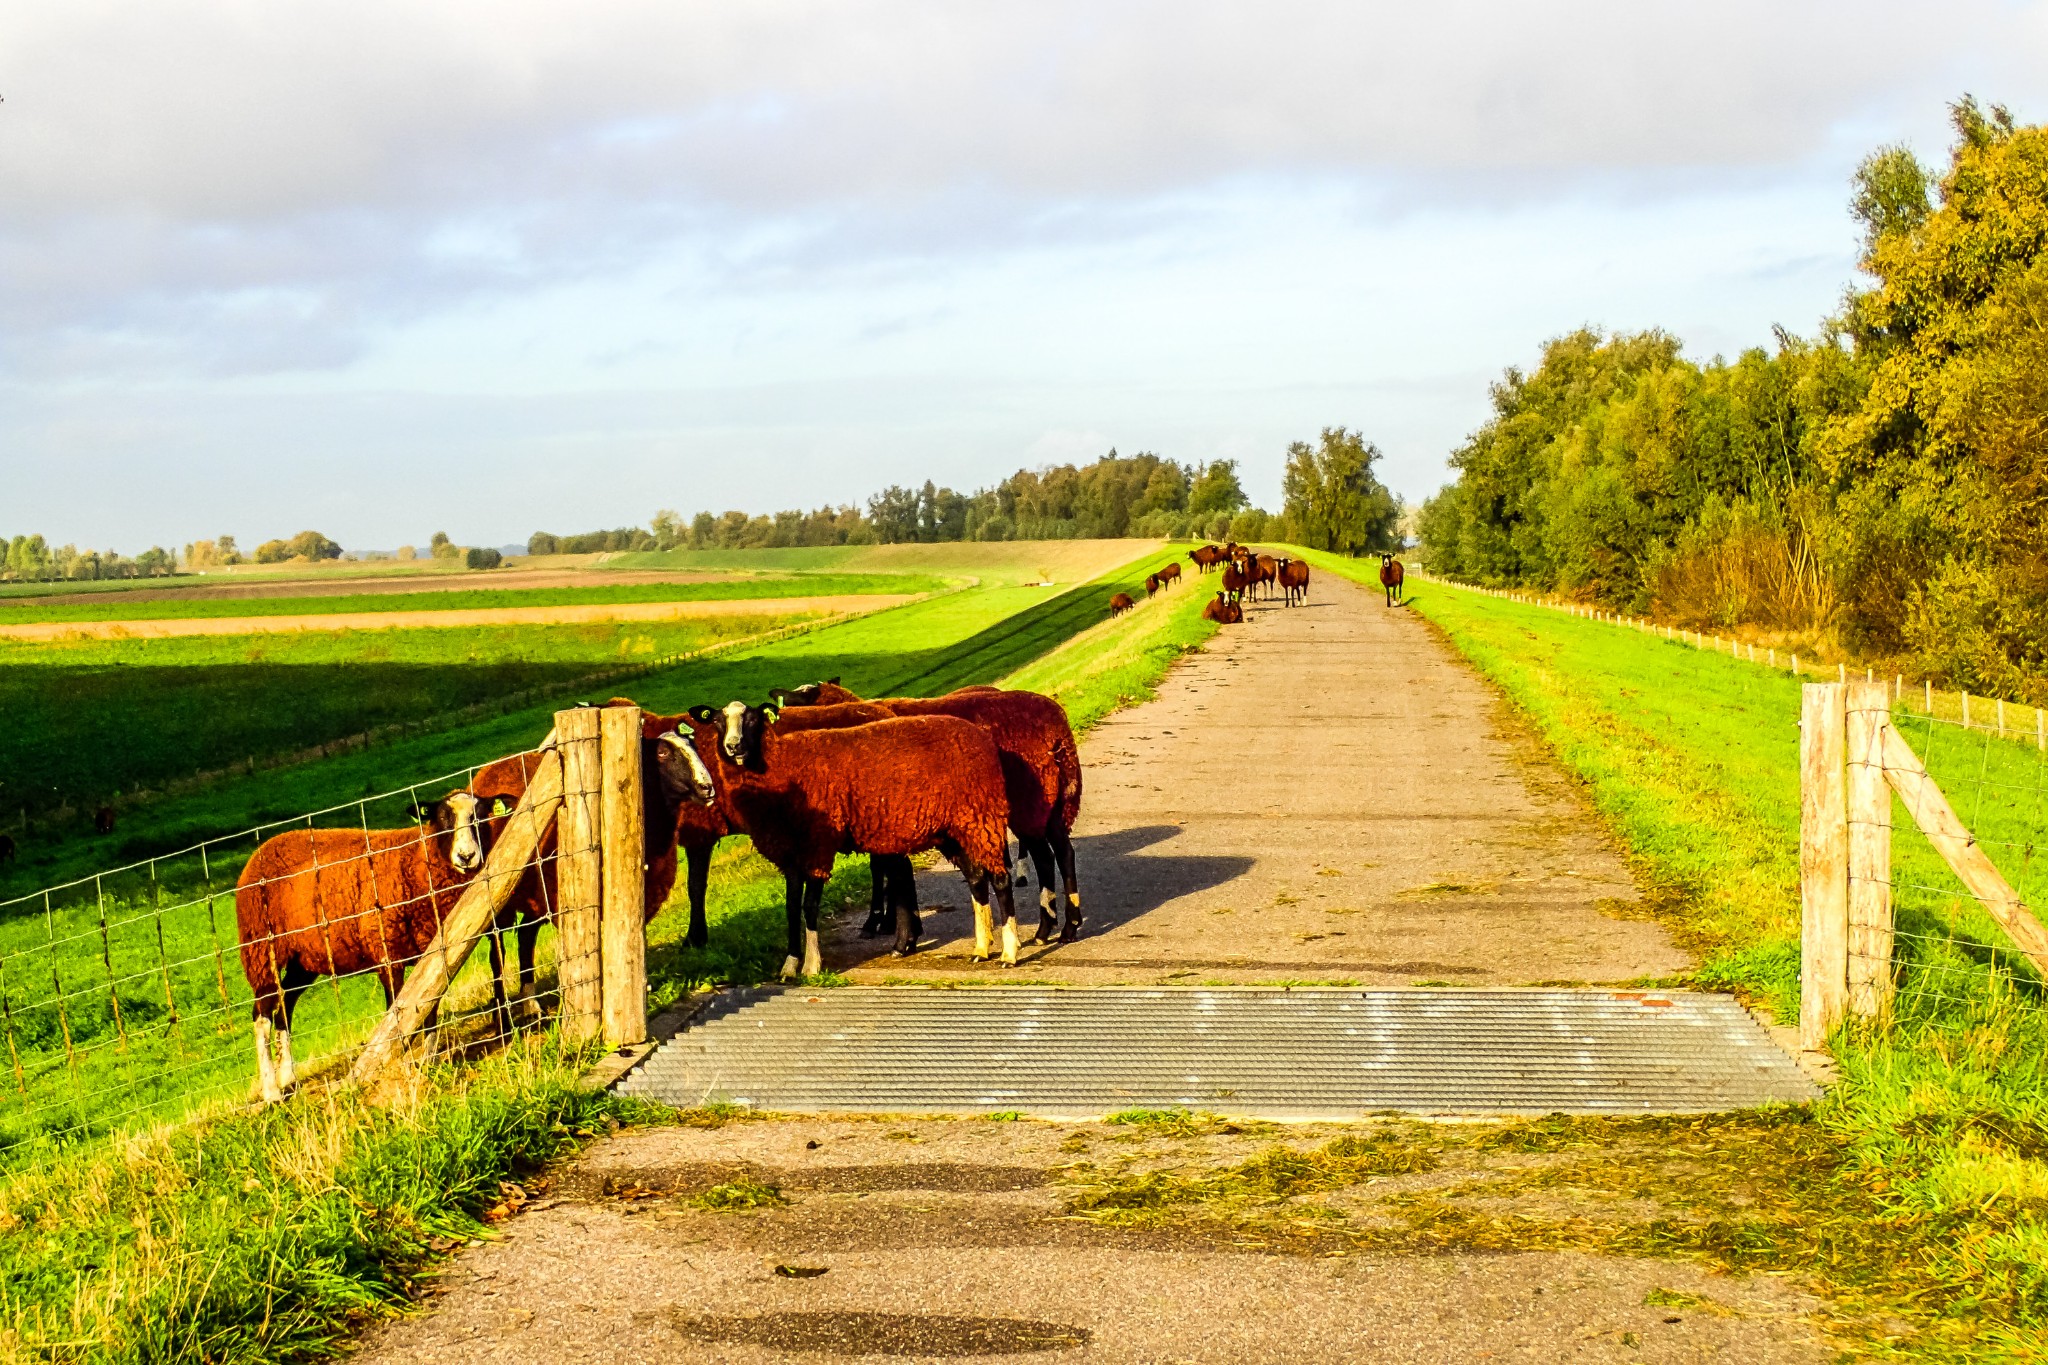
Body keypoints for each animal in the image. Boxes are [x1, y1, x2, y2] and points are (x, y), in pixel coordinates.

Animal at [234, 794, 491, 1105]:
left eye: (480, 815)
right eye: (443, 818)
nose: (466, 856)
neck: (416, 860)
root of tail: (259, 850)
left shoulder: (432, 954)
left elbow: (429, 1007)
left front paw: (428, 1061)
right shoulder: (387, 952)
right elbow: (399, 1011)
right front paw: (402, 1062)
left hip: (303, 958)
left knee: (286, 1003)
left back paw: (289, 1078)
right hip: (261, 948)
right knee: (261, 1013)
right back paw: (271, 1092)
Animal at [675, 716, 1019, 970]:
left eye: (751, 719)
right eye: (718, 720)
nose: (733, 747)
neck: (780, 766)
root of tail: (981, 736)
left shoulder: (818, 845)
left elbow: (809, 905)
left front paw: (812, 965)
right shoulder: (789, 852)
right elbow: (791, 906)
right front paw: (790, 964)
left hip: (982, 816)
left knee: (1000, 879)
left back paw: (1009, 953)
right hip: (957, 827)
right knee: (977, 879)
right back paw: (980, 948)